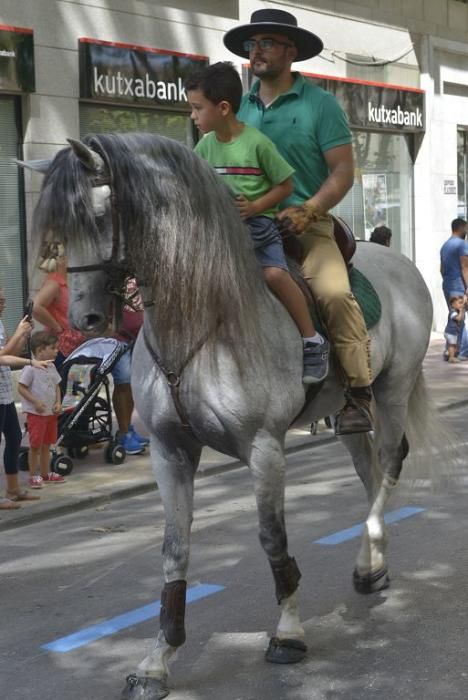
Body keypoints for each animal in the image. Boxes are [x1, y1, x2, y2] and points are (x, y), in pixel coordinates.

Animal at [25, 133, 434, 700]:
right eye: (60, 230)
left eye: (102, 216)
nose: (84, 319)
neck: (200, 321)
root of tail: (399, 262)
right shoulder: (170, 453)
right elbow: (174, 551)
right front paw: (158, 659)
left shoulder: (265, 448)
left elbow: (272, 537)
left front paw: (288, 633)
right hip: (348, 412)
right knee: (369, 469)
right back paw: (373, 565)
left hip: (393, 390)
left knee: (391, 464)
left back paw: (367, 559)